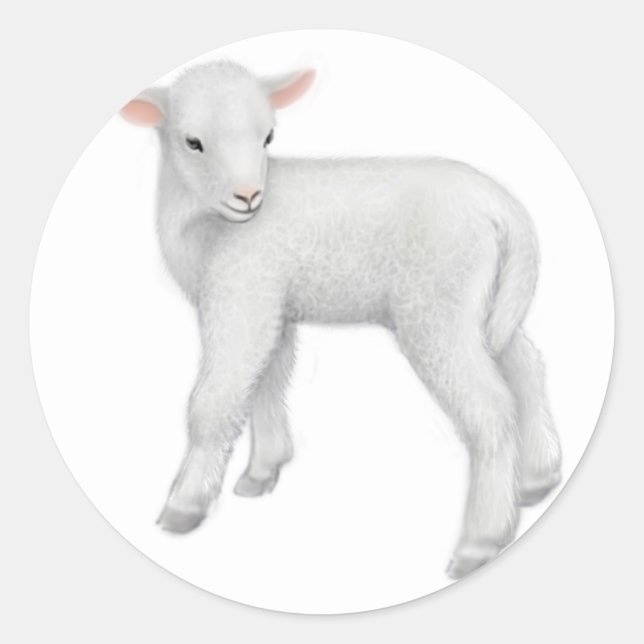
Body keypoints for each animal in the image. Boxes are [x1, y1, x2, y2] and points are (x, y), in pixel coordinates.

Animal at [120, 59, 562, 579]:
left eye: (268, 136)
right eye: (193, 142)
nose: (248, 196)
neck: (204, 226)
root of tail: (505, 209)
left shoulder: (241, 291)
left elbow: (214, 400)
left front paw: (184, 506)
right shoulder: (271, 302)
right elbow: (266, 379)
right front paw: (263, 469)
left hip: (437, 306)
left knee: (491, 407)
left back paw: (481, 542)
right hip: (489, 301)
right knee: (526, 369)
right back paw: (538, 479)